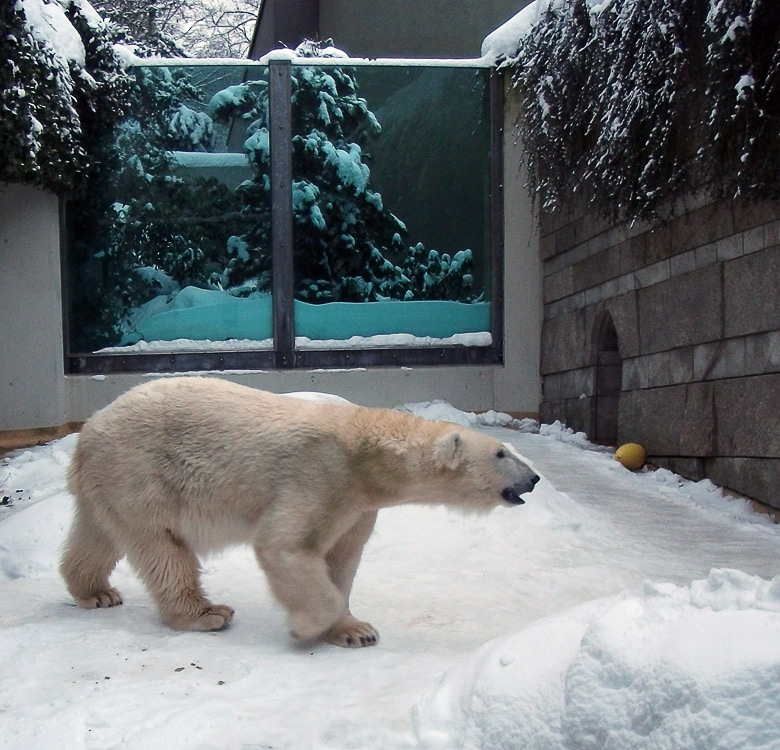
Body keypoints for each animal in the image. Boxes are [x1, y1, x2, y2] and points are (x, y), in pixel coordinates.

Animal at [61, 378, 540, 648]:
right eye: (501, 452)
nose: (533, 478)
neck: (364, 452)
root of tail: (88, 430)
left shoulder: (356, 504)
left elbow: (340, 559)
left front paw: (354, 631)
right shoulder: (319, 474)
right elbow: (285, 545)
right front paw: (306, 627)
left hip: (109, 482)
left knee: (97, 533)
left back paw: (96, 592)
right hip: (141, 473)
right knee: (162, 547)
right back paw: (206, 614)